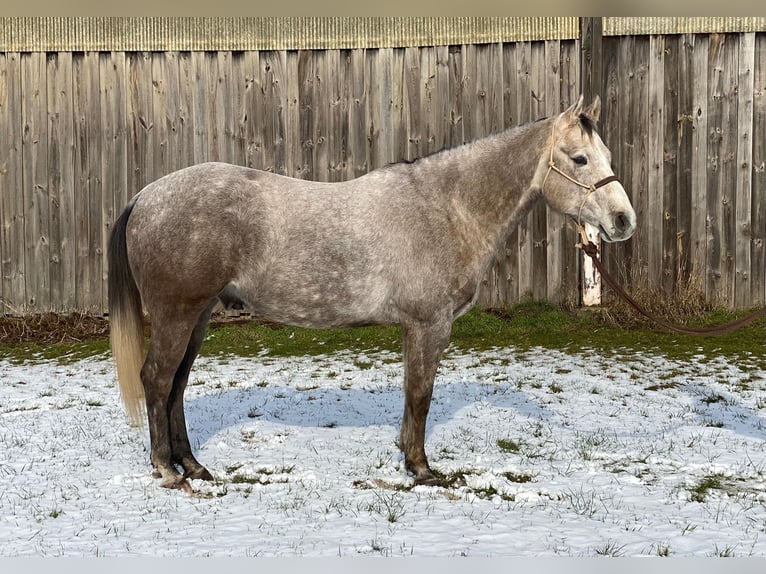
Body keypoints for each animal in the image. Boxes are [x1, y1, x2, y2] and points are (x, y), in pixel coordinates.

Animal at [108, 95, 636, 490]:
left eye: (608, 158)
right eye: (579, 158)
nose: (623, 222)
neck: (447, 208)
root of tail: (145, 197)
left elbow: (412, 393)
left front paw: (408, 457)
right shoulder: (428, 325)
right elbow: (421, 393)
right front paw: (422, 469)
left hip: (197, 317)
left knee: (176, 386)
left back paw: (194, 466)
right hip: (177, 315)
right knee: (157, 380)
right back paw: (167, 470)